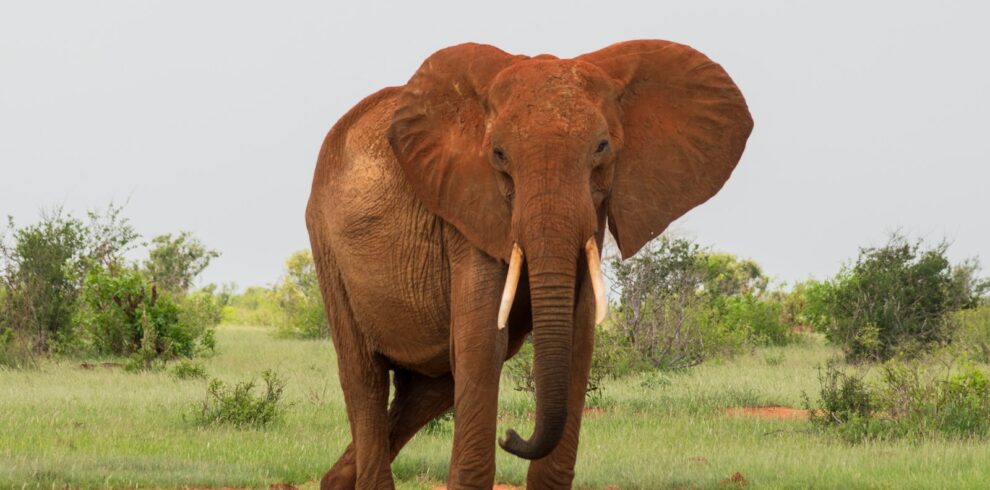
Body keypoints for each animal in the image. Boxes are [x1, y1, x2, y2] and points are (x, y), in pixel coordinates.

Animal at [305, 39, 752, 489]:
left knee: (428, 391)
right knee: (365, 379)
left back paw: (334, 480)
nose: (510, 435)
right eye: (499, 154)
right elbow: (483, 340)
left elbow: (577, 338)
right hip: (327, 246)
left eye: (602, 147)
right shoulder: (468, 211)